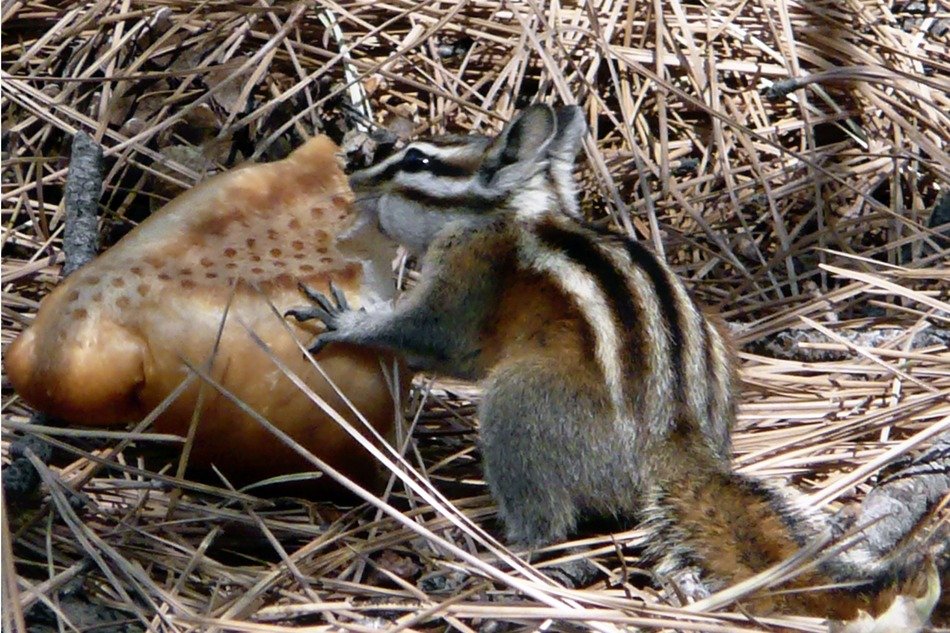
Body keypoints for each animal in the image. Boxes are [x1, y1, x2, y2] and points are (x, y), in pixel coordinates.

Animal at [288, 104, 942, 622]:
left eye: (417, 160)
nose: (350, 176)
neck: (511, 212)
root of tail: (673, 446)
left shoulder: (469, 278)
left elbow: (432, 337)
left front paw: (346, 321)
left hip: (520, 403)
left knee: (543, 522)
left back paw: (495, 551)